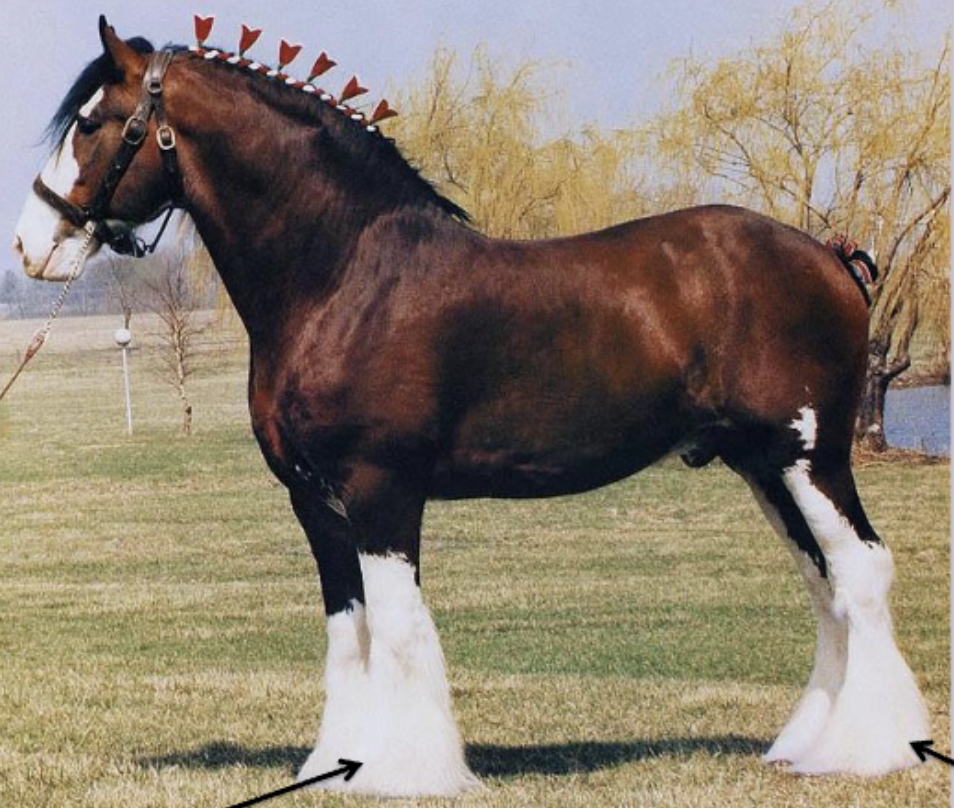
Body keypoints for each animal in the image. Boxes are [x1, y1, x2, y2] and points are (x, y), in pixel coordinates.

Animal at [13, 17, 929, 796]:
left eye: (93, 122)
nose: (30, 246)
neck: (343, 273)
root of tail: (829, 255)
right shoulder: (315, 500)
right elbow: (350, 628)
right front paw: (341, 762)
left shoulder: (381, 489)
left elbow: (399, 626)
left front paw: (407, 772)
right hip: (763, 466)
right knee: (823, 583)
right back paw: (809, 745)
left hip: (812, 456)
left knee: (859, 571)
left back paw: (872, 750)